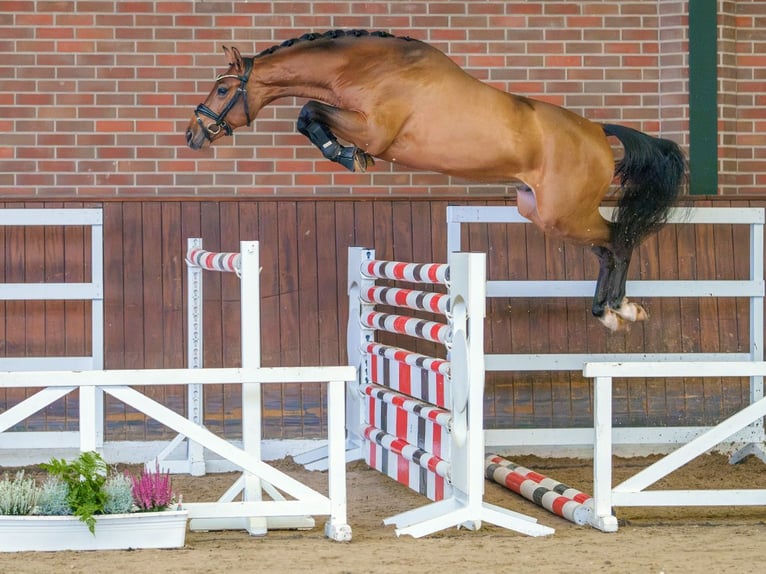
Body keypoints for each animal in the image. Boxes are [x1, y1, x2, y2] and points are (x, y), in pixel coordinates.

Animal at [188, 29, 688, 332]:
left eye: (221, 87)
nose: (193, 134)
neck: (366, 68)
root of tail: (598, 131)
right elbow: (309, 114)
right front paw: (348, 156)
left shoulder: (374, 129)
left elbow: (308, 112)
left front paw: (347, 156)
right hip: (548, 215)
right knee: (607, 249)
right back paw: (607, 311)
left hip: (565, 214)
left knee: (620, 239)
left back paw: (620, 309)